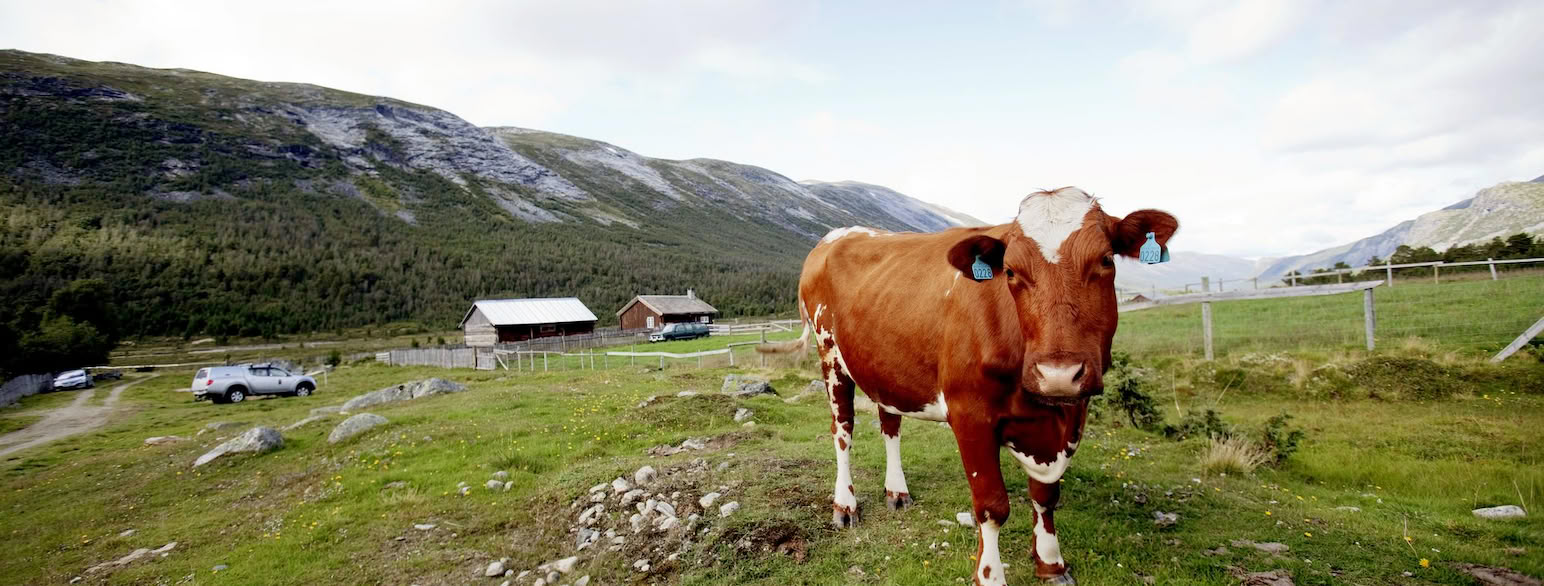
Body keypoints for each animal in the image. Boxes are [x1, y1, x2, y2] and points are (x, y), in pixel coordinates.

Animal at [765, 188, 1173, 586]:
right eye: (1010, 271)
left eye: (1105, 260)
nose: (1058, 374)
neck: (1051, 421)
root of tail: (836, 237)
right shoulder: (970, 415)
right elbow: (991, 506)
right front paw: (990, 575)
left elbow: (1045, 495)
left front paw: (1051, 562)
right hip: (831, 357)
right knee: (843, 430)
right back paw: (845, 506)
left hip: (885, 366)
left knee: (890, 425)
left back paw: (897, 491)